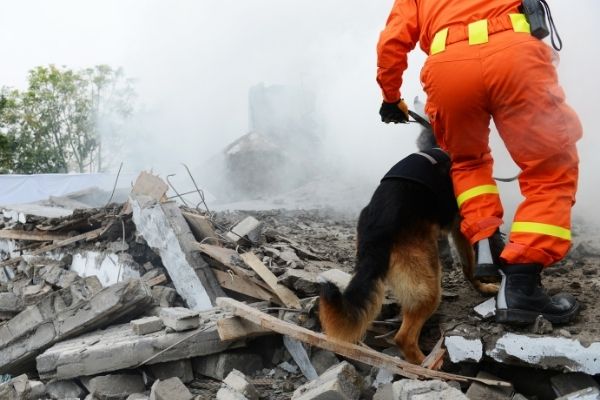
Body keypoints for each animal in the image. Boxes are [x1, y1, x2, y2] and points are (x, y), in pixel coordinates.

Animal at [318, 113, 496, 366]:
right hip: (427, 285)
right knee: (404, 337)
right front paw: (483, 286)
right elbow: (469, 265)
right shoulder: (460, 226)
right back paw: (428, 365)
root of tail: (376, 229)